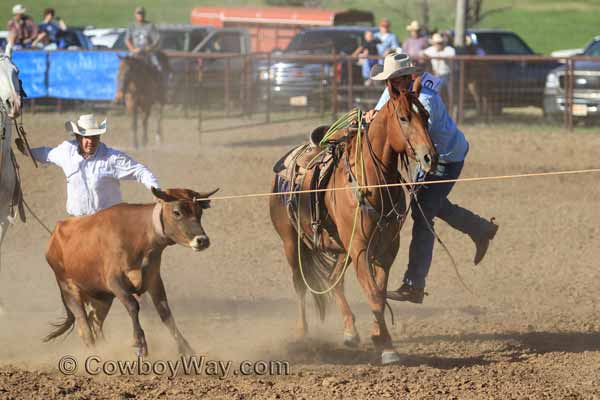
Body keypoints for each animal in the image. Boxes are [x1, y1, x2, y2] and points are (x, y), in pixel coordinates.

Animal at [44, 188, 218, 356]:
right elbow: (133, 306)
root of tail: (53, 238)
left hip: (102, 297)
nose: (202, 240)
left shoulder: (154, 280)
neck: (138, 236)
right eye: (177, 212)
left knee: (95, 322)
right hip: (68, 288)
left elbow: (166, 313)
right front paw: (140, 344)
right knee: (84, 325)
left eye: (199, 212)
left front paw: (186, 349)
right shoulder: (115, 281)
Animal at [270, 78, 438, 366]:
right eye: (404, 118)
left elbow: (379, 292)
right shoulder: (360, 248)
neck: (371, 182)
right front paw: (387, 347)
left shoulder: (386, 249)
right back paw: (302, 333)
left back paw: (350, 331)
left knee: (334, 279)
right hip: (292, 243)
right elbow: (374, 295)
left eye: (426, 116)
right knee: (300, 285)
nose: (430, 157)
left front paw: (378, 337)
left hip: (341, 247)